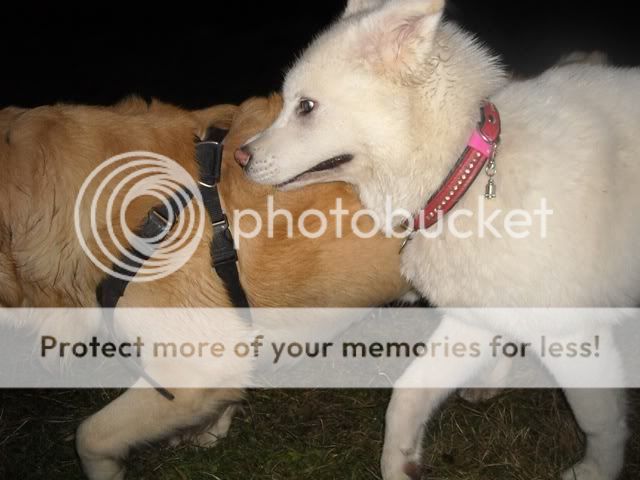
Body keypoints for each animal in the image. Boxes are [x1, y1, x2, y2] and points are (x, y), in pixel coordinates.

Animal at [237, 0, 640, 478]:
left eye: (306, 107)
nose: (240, 156)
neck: (465, 171)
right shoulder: (472, 317)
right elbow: (406, 396)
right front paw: (400, 464)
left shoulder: (574, 334)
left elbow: (599, 419)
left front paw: (598, 468)